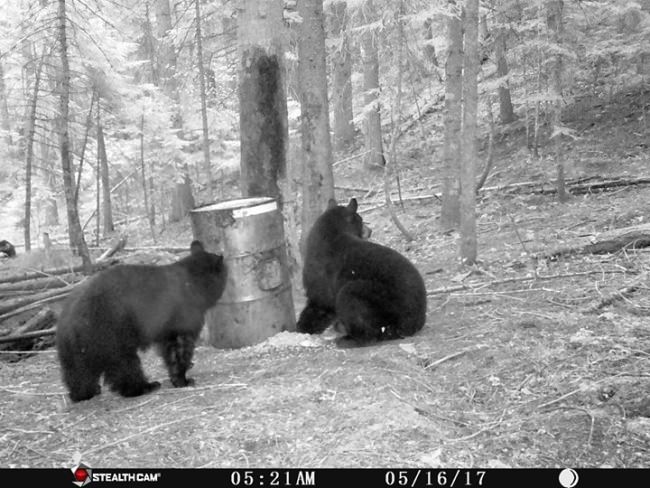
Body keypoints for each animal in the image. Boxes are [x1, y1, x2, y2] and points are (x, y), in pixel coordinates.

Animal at [56, 240, 226, 402]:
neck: (193, 283)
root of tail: (71, 317)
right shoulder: (183, 314)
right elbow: (180, 347)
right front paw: (183, 380)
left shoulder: (166, 330)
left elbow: (169, 348)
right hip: (111, 333)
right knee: (124, 364)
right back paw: (144, 387)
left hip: (77, 347)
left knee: (78, 370)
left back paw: (83, 393)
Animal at [297, 198, 427, 346]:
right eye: (361, 220)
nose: (370, 230)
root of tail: (414, 323)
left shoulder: (321, 275)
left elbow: (321, 303)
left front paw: (303, 326)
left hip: (380, 301)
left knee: (351, 298)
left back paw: (348, 339)